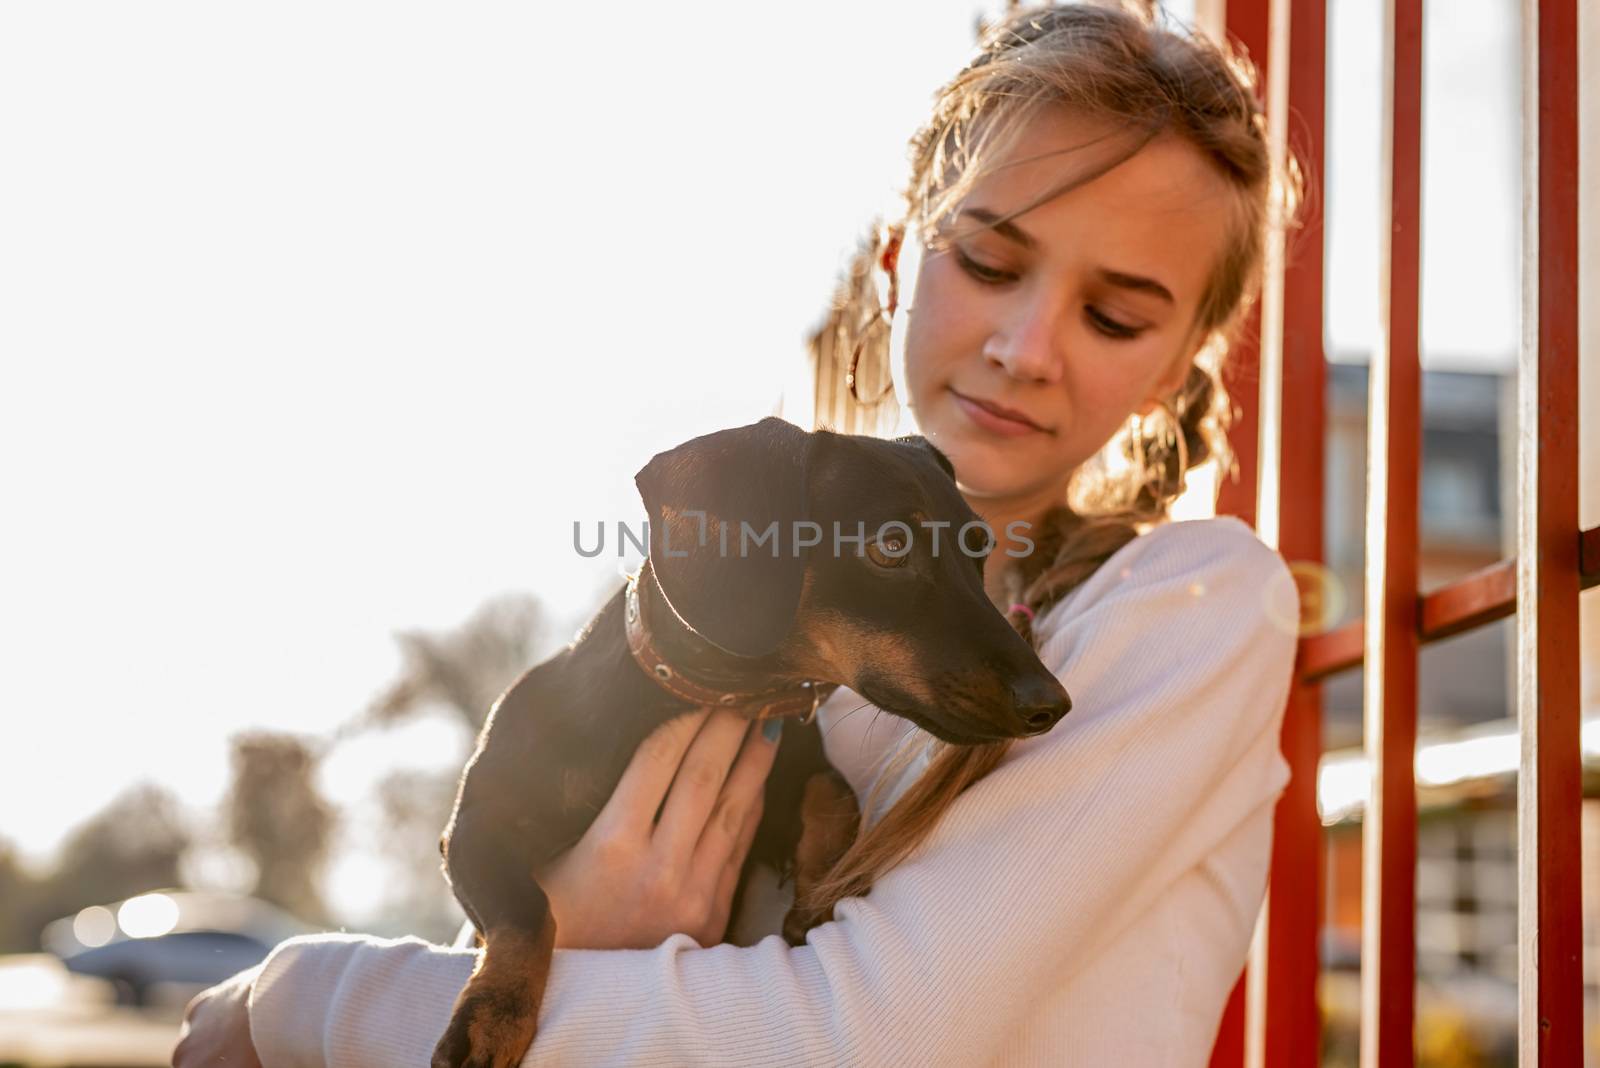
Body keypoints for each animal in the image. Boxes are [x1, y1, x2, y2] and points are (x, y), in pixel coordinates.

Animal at [432, 415, 1068, 1068]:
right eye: (891, 547)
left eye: (981, 551)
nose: (1052, 704)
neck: (725, 697)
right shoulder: (474, 827)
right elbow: (529, 911)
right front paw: (492, 1018)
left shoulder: (794, 767)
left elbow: (835, 795)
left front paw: (818, 895)